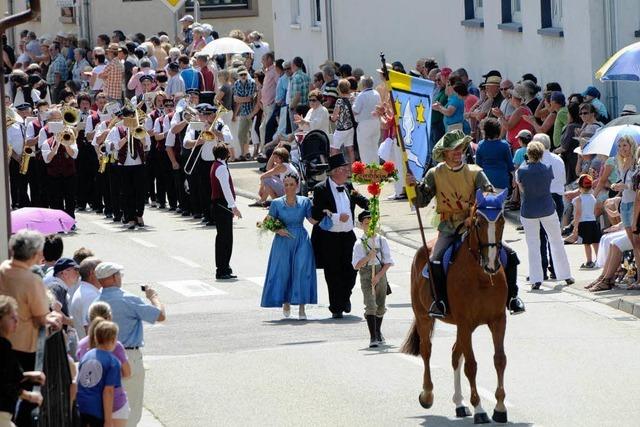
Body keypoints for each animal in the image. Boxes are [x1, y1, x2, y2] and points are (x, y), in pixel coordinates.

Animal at [400, 190, 510, 424]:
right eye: (478, 222)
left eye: (502, 221)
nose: (492, 263)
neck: (481, 277)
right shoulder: (465, 323)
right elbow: (471, 365)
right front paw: (479, 409)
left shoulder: (497, 321)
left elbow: (499, 360)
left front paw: (500, 407)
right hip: (424, 317)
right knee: (427, 350)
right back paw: (427, 394)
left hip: (462, 327)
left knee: (454, 354)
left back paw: (459, 404)